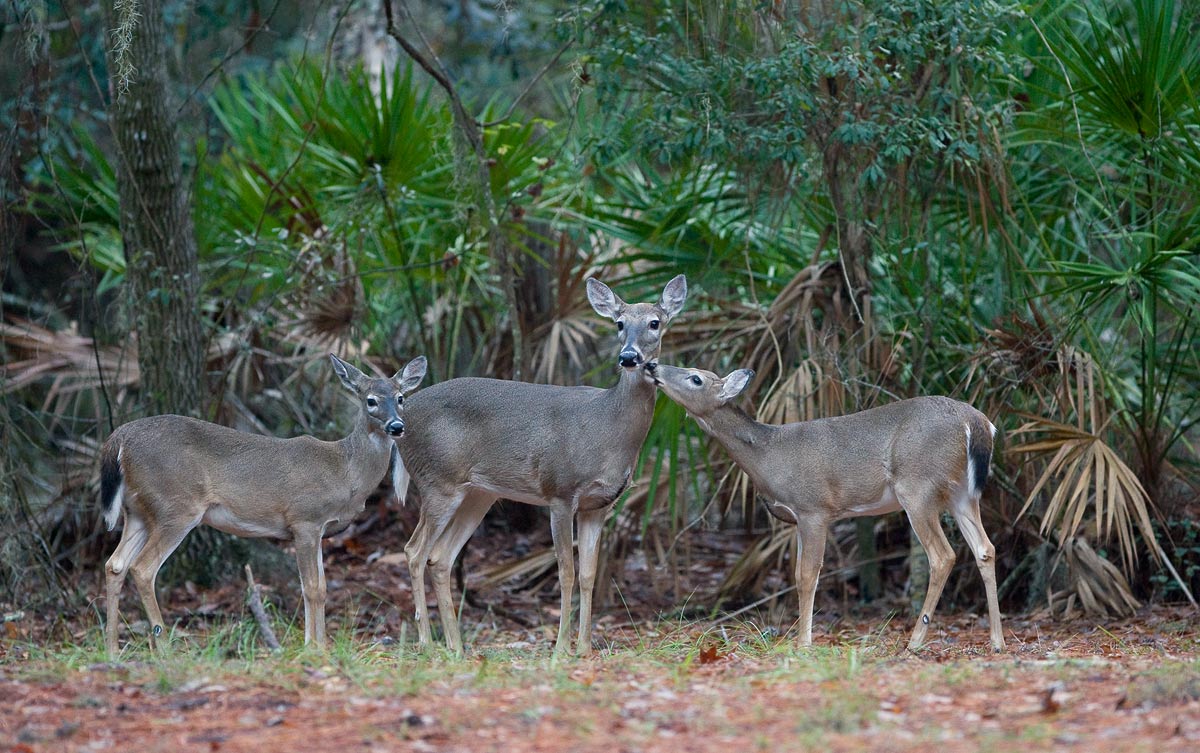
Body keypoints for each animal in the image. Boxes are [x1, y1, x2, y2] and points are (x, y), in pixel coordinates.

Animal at [99, 352, 427, 652]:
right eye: (371, 400)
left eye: (400, 398)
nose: (397, 426)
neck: (344, 472)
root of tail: (119, 438)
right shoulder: (304, 519)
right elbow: (311, 588)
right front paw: (313, 648)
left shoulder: (320, 528)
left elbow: (321, 587)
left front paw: (321, 646)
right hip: (176, 505)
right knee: (142, 569)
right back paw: (164, 648)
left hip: (138, 511)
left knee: (115, 564)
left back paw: (113, 650)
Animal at [398, 274, 691, 652]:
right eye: (619, 323)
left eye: (655, 323)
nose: (629, 356)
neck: (607, 428)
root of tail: (401, 419)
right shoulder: (560, 491)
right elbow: (565, 571)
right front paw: (562, 648)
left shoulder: (600, 504)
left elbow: (589, 574)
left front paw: (584, 647)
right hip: (437, 481)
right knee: (414, 551)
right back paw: (426, 643)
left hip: (478, 493)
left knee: (440, 558)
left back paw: (456, 648)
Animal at [652, 362, 1008, 652]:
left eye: (695, 378)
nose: (653, 366)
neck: (768, 455)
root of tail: (978, 423)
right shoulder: (799, 519)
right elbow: (798, 574)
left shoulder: (814, 509)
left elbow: (807, 575)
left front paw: (803, 643)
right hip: (962, 493)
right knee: (985, 548)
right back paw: (997, 641)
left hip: (917, 487)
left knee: (943, 555)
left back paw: (915, 641)